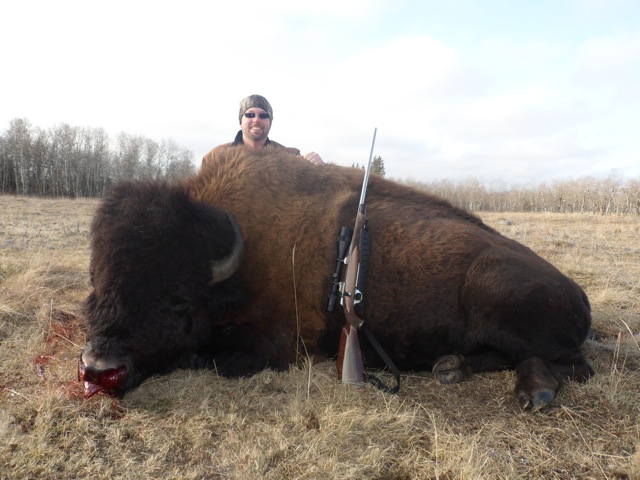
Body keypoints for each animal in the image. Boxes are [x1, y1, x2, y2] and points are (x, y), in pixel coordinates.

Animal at [79, 148, 593, 410]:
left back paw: (533, 393)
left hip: (501, 292)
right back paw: (451, 367)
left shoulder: (277, 345)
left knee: (572, 364)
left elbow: (212, 359)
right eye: (97, 290)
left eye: (178, 302)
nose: (100, 369)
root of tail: (579, 294)